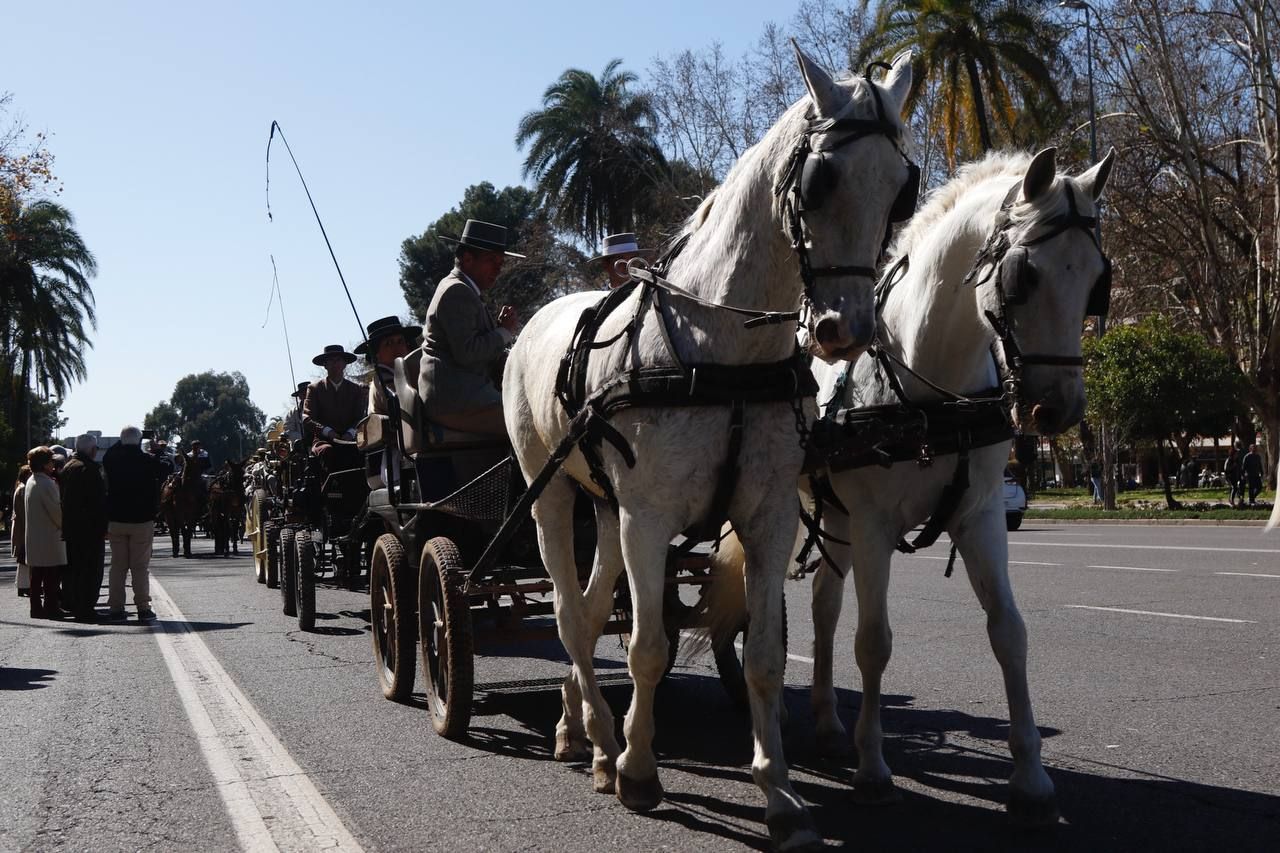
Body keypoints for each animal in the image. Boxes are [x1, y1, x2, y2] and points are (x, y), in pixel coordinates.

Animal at [499, 46, 911, 850]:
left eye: (900, 190)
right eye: (821, 181)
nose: (844, 329)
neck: (722, 350)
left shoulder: (767, 516)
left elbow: (762, 657)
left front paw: (779, 792)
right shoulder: (649, 519)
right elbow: (648, 646)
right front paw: (638, 769)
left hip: (607, 511)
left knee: (588, 610)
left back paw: (578, 727)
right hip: (554, 495)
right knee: (567, 614)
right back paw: (603, 739)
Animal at [706, 144, 1116, 819]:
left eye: (1095, 282)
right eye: (1024, 276)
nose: (1057, 410)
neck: (929, 388)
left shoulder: (980, 517)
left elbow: (1009, 633)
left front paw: (1030, 776)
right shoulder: (875, 526)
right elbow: (874, 642)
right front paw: (874, 767)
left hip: (835, 518)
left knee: (824, 607)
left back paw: (827, 721)